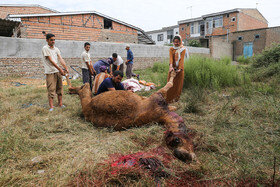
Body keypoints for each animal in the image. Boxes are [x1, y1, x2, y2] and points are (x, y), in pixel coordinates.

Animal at [69, 71, 197, 163]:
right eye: (177, 140)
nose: (186, 156)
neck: (163, 114)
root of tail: (88, 108)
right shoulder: (158, 96)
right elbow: (169, 84)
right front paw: (174, 71)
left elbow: (172, 100)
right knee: (85, 87)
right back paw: (71, 88)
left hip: (87, 105)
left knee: (84, 90)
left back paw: (72, 89)